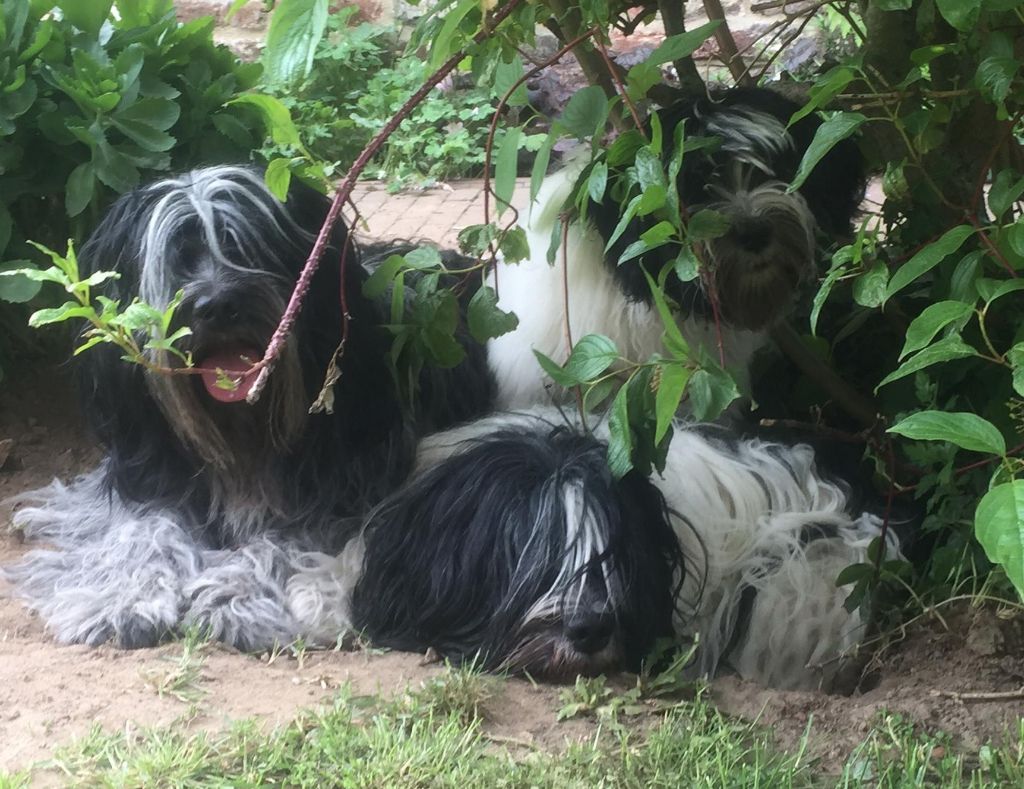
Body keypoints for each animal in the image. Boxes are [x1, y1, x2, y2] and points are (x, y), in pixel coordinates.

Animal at [1, 163, 491, 650]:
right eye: (178, 258)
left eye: (244, 247)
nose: (218, 305)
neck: (241, 433)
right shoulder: (145, 474)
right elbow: (140, 528)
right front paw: (122, 597)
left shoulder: (347, 489)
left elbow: (285, 540)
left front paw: (236, 595)